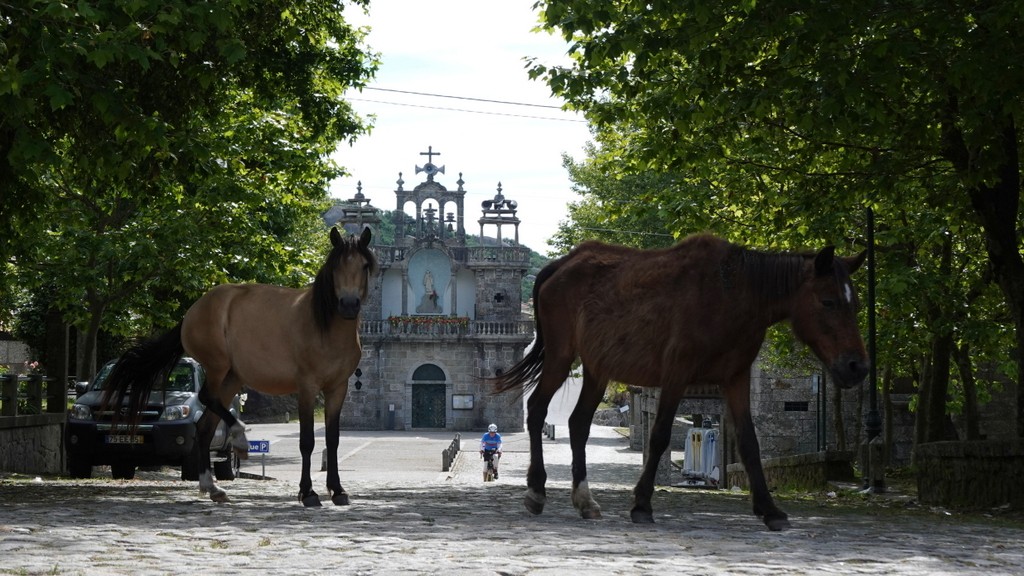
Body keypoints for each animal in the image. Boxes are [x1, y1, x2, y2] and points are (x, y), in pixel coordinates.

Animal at [103, 226, 378, 504]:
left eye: (365, 265)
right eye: (335, 266)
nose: (348, 305)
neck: (324, 328)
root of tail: (194, 310)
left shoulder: (338, 388)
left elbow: (332, 440)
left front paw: (337, 490)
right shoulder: (307, 388)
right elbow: (307, 441)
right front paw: (308, 492)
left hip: (232, 378)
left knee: (205, 427)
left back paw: (212, 487)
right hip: (217, 367)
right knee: (206, 397)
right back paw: (240, 439)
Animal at [491, 233, 868, 528]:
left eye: (856, 305)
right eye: (829, 301)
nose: (857, 366)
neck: (733, 291)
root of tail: (562, 265)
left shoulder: (736, 378)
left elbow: (749, 442)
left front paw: (769, 508)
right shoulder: (676, 373)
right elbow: (659, 436)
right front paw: (642, 504)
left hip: (598, 369)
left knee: (579, 423)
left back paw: (585, 499)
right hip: (560, 356)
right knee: (537, 410)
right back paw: (536, 490)